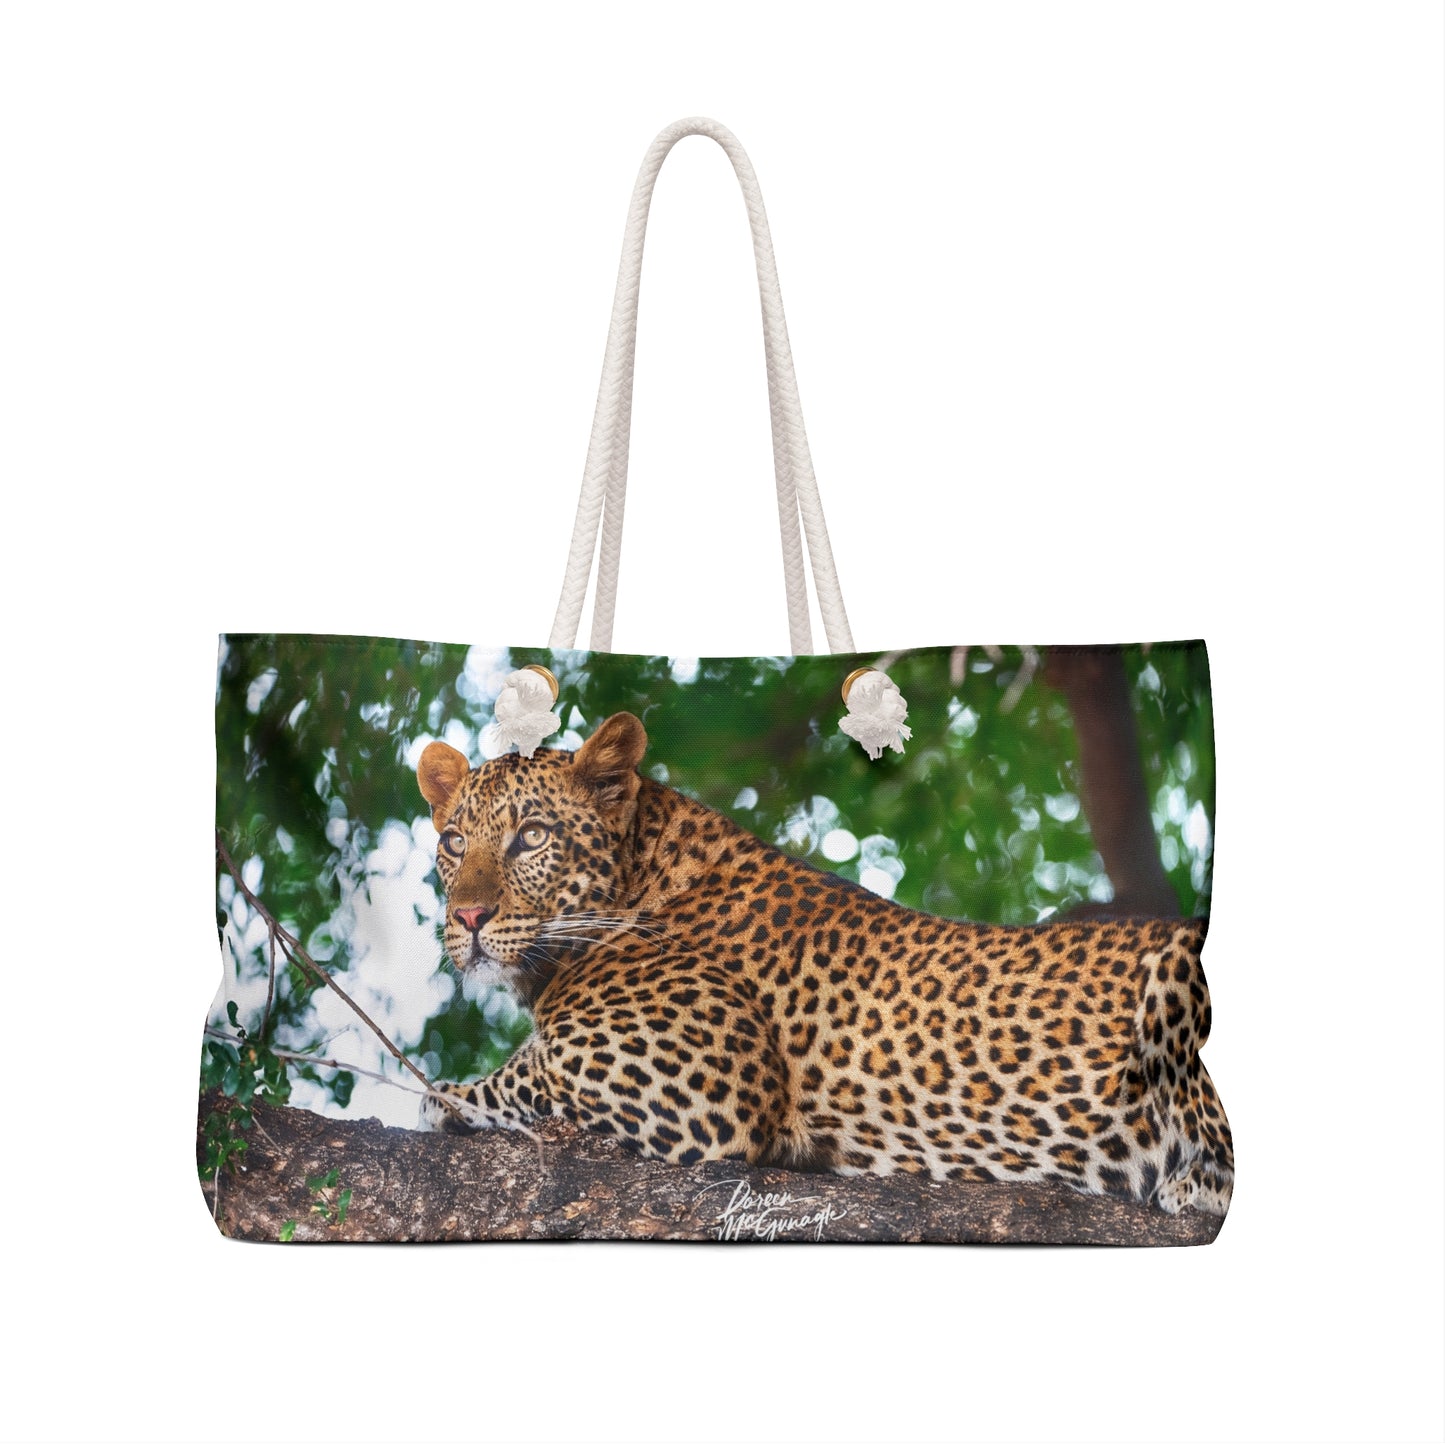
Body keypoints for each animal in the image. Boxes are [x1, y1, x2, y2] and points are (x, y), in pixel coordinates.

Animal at [414, 712, 1233, 1215]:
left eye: (530, 836)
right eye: (453, 841)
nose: (468, 919)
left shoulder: (698, 1083)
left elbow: (524, 1072)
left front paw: (447, 1096)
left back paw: (1191, 1181)